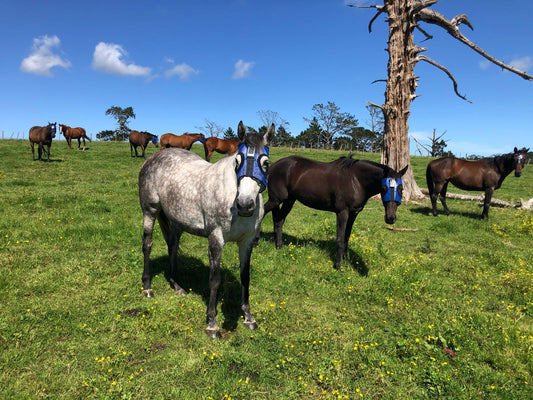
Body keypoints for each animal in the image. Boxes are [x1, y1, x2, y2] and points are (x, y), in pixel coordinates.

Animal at [137, 121, 274, 338]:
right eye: (237, 161)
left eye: (266, 163)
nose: (245, 205)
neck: (231, 197)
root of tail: (153, 158)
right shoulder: (216, 239)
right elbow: (214, 279)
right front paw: (212, 324)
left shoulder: (246, 242)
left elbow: (245, 277)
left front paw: (248, 318)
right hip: (149, 211)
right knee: (147, 245)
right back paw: (147, 288)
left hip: (176, 221)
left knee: (172, 246)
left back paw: (177, 286)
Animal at [262, 155, 408, 270]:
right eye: (384, 188)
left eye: (401, 188)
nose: (390, 218)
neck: (355, 180)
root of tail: (274, 166)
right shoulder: (342, 213)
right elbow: (340, 238)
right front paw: (337, 265)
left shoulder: (354, 213)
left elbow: (347, 237)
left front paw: (346, 260)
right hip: (276, 200)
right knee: (263, 213)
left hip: (289, 200)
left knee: (279, 221)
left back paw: (279, 246)